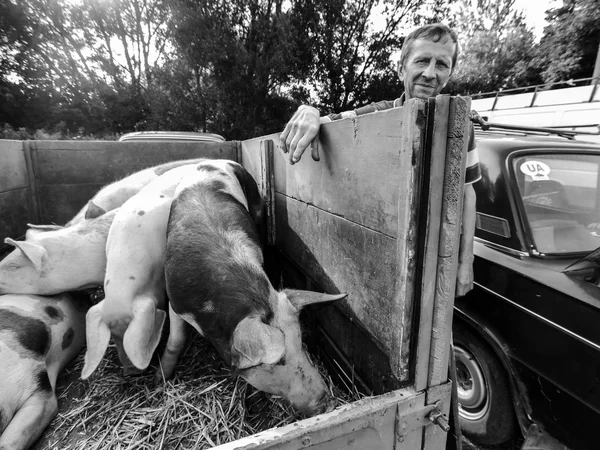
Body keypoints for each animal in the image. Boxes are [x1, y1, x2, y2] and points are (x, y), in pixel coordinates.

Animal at [164, 160, 346, 416]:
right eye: (278, 361)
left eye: (301, 340)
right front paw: (161, 377)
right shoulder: (174, 300)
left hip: (258, 207)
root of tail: (210, 161)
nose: (327, 401)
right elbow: (175, 339)